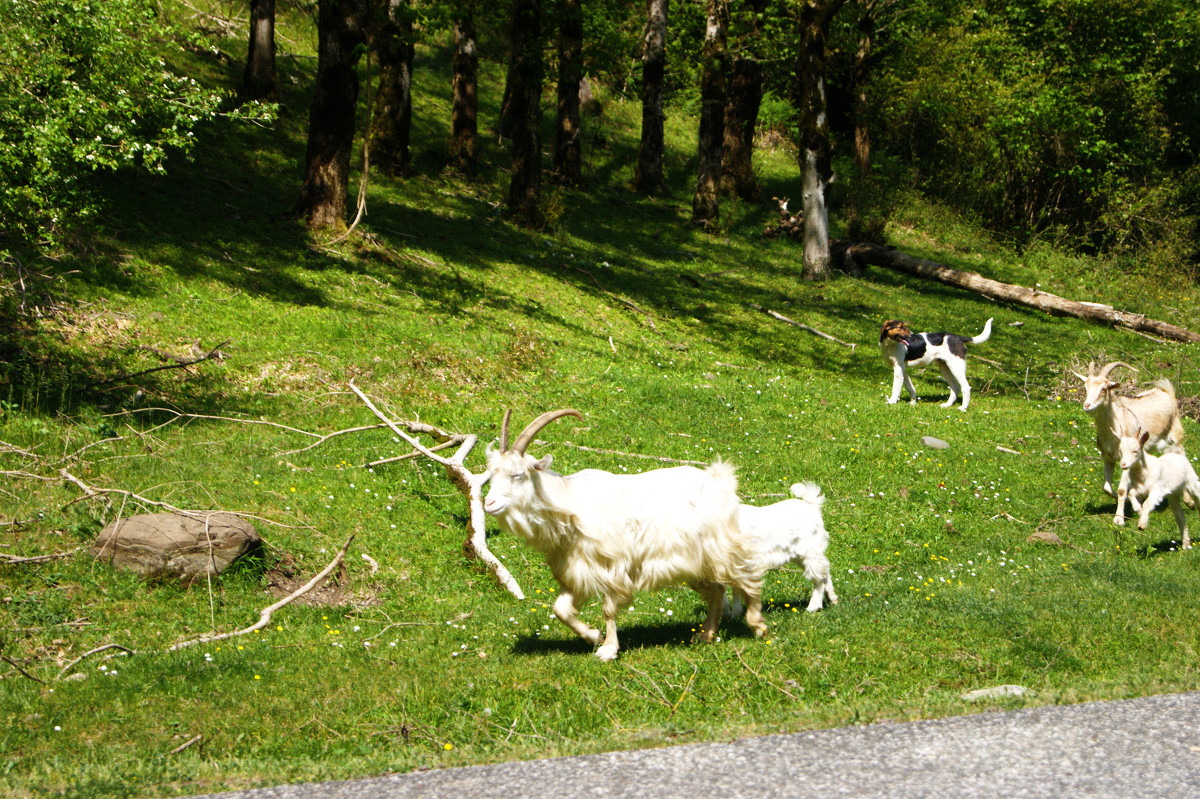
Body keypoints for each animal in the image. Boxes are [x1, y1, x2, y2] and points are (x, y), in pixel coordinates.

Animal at [480, 407, 768, 662]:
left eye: (517, 474)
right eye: (492, 474)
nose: (489, 504)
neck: (568, 503)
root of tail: (719, 480)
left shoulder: (614, 565)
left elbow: (608, 609)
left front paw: (607, 649)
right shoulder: (577, 570)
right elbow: (560, 609)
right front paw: (592, 636)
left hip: (721, 546)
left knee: (747, 576)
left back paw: (758, 626)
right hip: (696, 561)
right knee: (717, 589)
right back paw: (706, 634)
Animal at [724, 479, 840, 614]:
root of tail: (812, 505)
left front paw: (734, 613)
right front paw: (728, 613)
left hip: (810, 550)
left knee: (819, 577)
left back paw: (813, 607)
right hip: (801, 555)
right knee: (824, 570)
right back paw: (832, 598)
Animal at [1075, 359, 1185, 523]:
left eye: (1104, 389)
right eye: (1086, 387)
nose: (1087, 406)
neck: (1117, 423)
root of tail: (1168, 393)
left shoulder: (1126, 459)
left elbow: (1121, 489)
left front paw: (1119, 518)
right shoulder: (1108, 458)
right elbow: (1106, 488)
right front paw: (1129, 501)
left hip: (1175, 439)